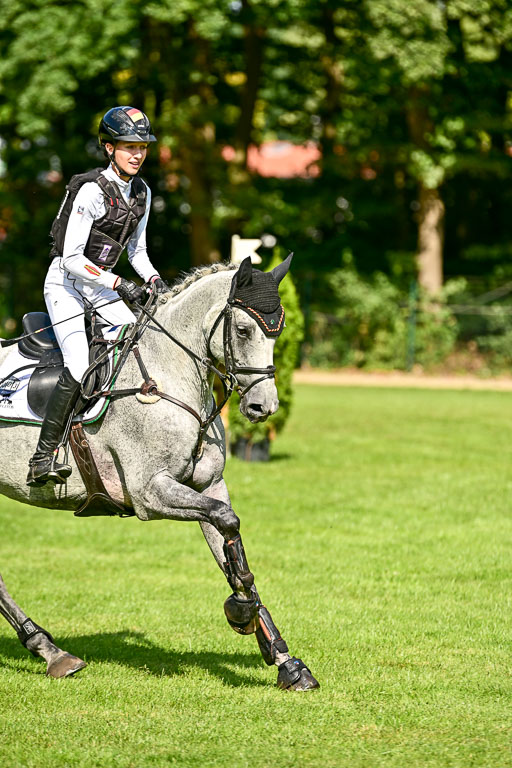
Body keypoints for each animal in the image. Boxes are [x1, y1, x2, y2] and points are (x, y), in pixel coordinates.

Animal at [0, 256, 319, 691]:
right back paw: (51, 651)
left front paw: (285, 659)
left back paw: (49, 649)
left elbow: (230, 542)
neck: (168, 376)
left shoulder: (210, 486)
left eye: (279, 331)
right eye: (242, 329)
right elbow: (229, 527)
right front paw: (241, 609)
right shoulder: (150, 494)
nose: (262, 407)